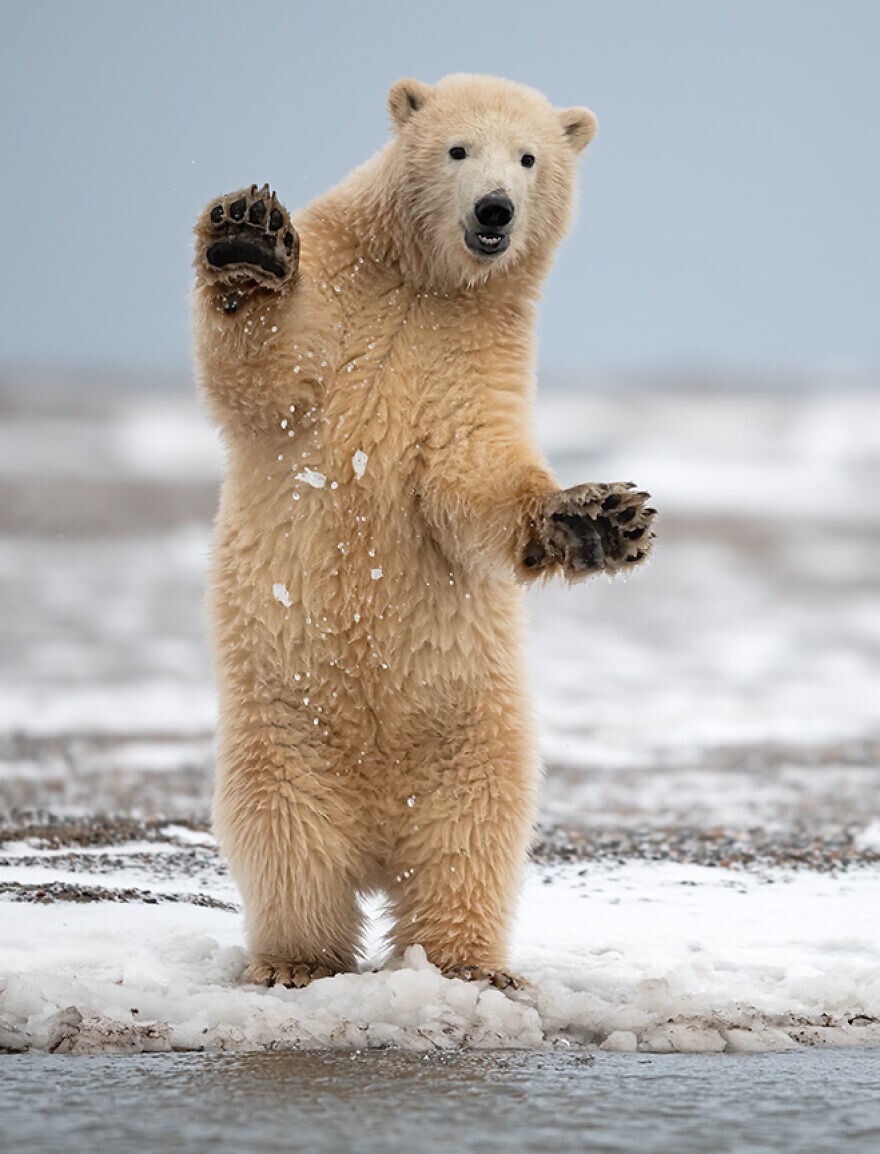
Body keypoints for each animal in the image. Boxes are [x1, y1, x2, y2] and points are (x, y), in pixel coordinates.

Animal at [196, 74, 659, 992]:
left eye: (529, 157)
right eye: (457, 149)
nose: (494, 209)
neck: (424, 281)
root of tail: (379, 836)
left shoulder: (479, 349)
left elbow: (469, 472)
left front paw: (600, 518)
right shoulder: (345, 298)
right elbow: (266, 377)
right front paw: (247, 238)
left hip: (473, 732)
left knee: (472, 841)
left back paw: (467, 964)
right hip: (283, 730)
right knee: (286, 840)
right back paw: (297, 961)